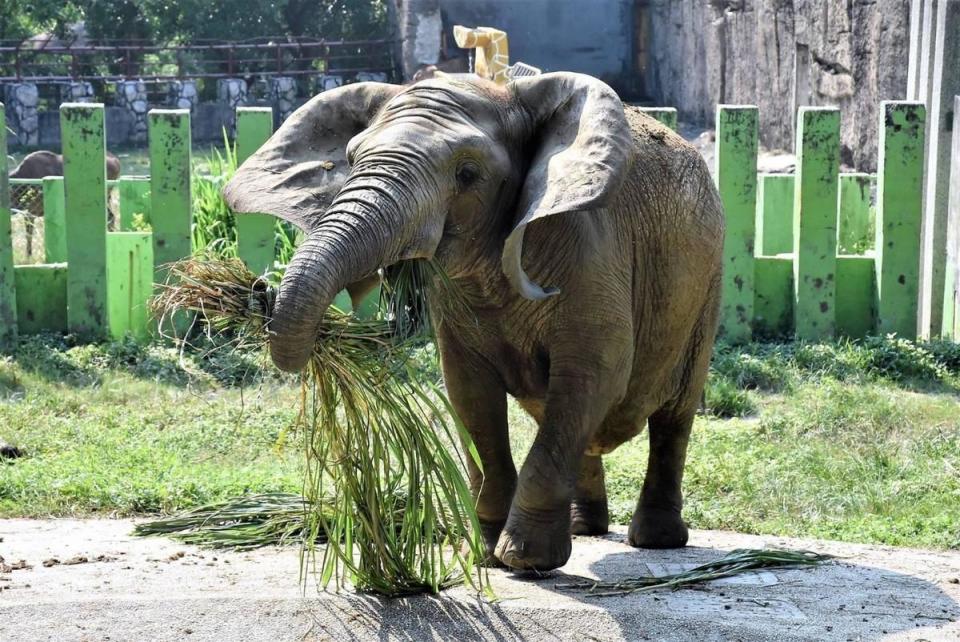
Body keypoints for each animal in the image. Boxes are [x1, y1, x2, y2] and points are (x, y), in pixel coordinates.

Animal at [223, 71, 720, 568]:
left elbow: (594, 375)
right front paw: (481, 554)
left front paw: (524, 560)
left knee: (673, 416)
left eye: (467, 175)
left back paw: (656, 539)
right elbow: (470, 394)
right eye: (348, 160)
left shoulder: (593, 253)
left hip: (706, 289)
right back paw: (585, 528)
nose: (259, 290)